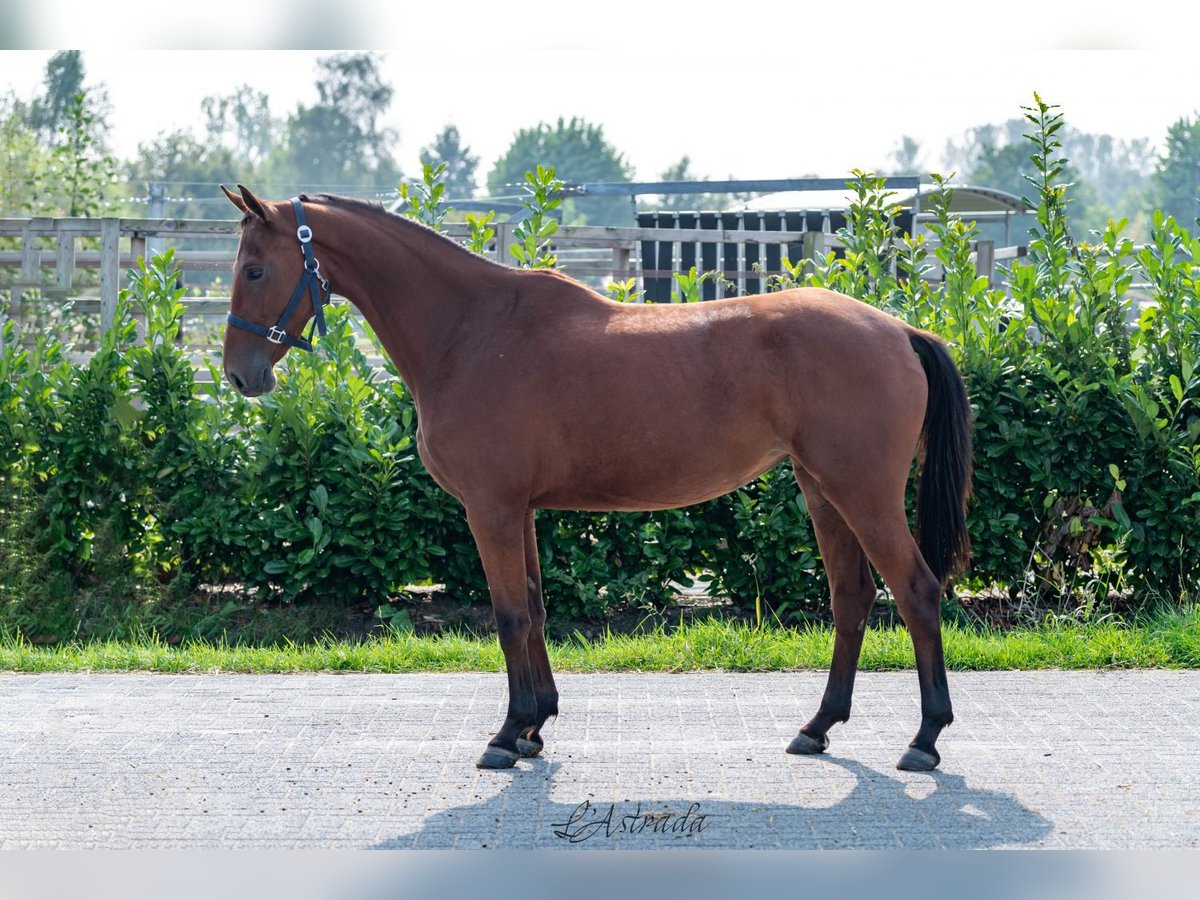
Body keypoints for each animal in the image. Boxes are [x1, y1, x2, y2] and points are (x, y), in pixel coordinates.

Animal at [220, 184, 969, 777]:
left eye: (255, 269)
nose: (237, 375)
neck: (469, 331)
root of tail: (898, 330)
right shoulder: (517, 509)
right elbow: (533, 606)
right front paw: (535, 725)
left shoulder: (491, 508)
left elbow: (508, 615)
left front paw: (506, 734)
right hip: (822, 489)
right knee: (852, 597)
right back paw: (818, 727)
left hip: (864, 494)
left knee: (916, 592)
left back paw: (925, 738)